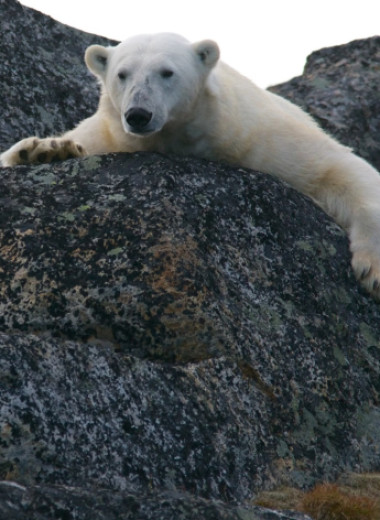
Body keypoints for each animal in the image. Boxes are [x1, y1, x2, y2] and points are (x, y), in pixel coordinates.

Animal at [2, 32, 380, 298]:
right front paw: (45, 149)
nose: (138, 114)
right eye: (122, 74)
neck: (180, 136)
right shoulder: (109, 135)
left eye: (167, 72)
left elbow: (340, 168)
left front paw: (372, 271)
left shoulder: (260, 136)